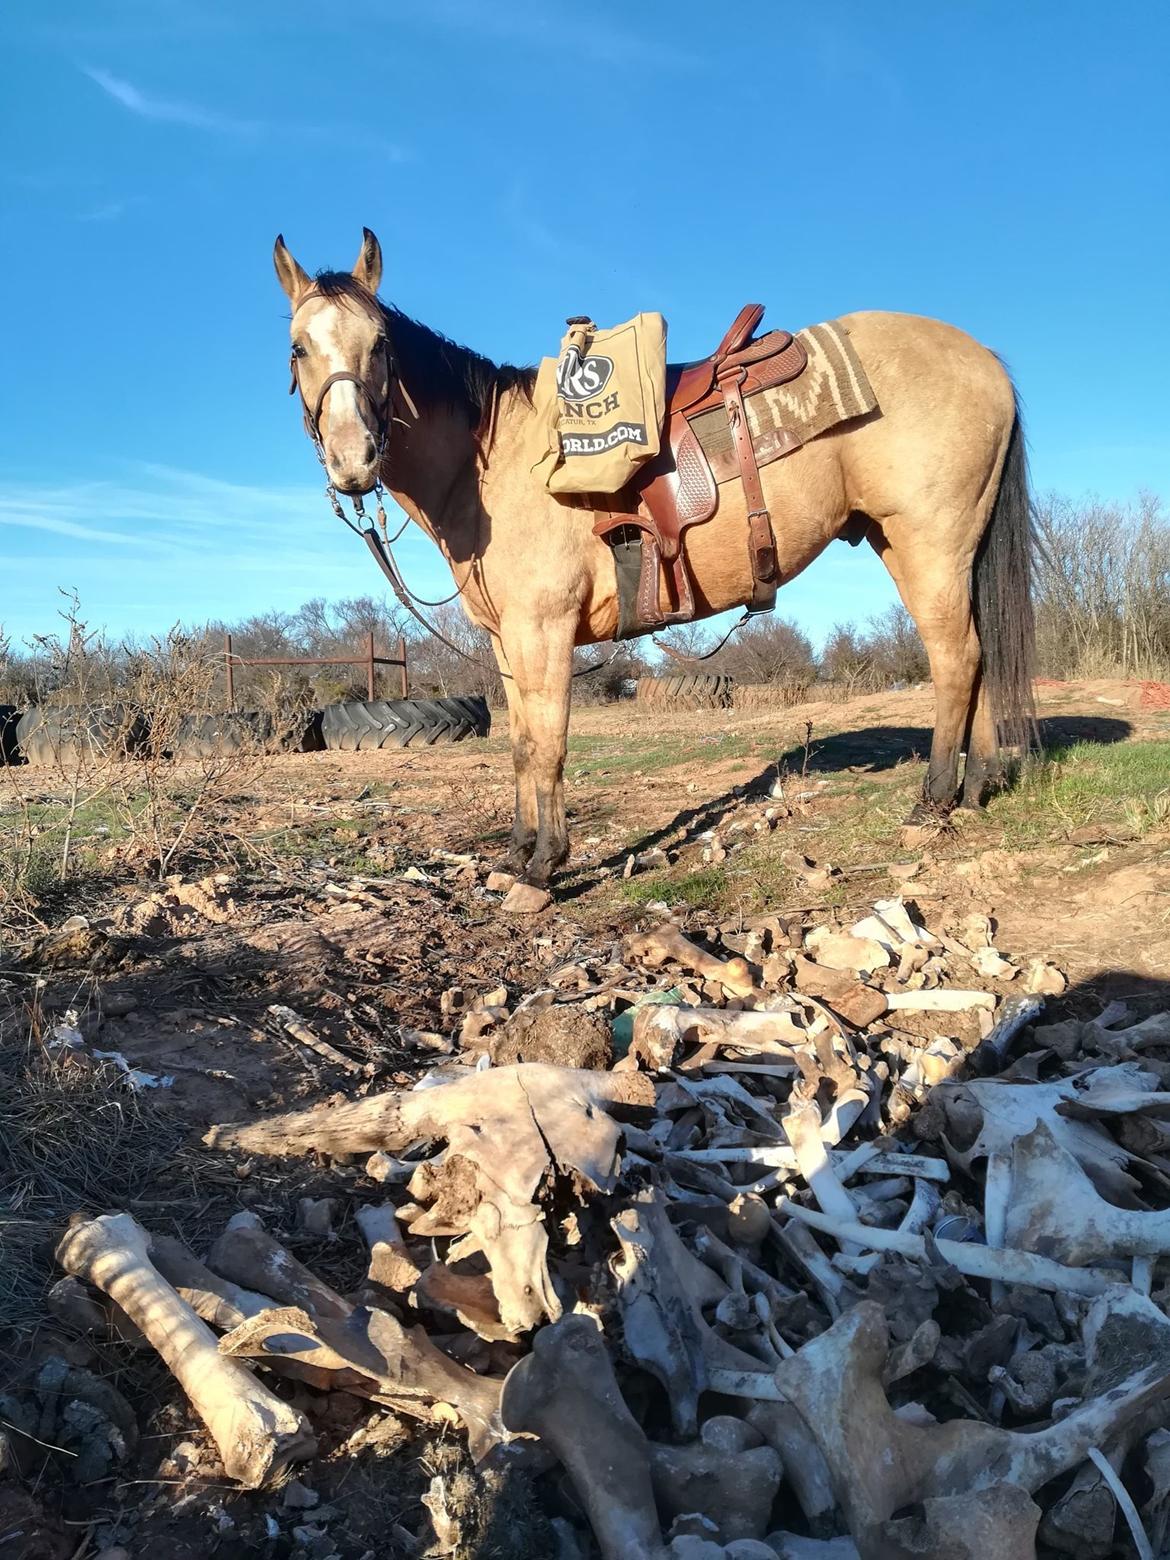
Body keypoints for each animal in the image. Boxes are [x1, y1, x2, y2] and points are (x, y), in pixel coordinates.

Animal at [273, 230, 1035, 892]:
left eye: (380, 344)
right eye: (297, 348)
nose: (353, 461)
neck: (488, 463)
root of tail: (984, 358)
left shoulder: (544, 630)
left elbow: (547, 744)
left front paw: (545, 864)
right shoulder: (507, 641)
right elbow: (518, 743)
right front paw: (517, 850)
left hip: (926, 545)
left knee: (957, 658)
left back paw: (933, 799)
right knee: (979, 655)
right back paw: (974, 789)